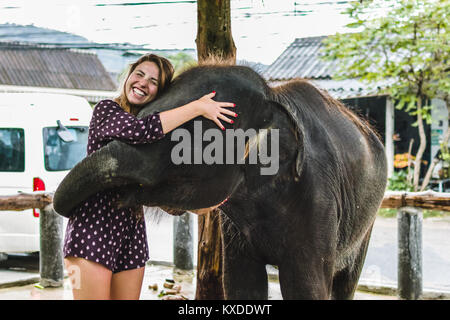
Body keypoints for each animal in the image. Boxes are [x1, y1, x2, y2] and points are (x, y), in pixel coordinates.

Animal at [53, 63, 386, 300]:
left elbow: (306, 288)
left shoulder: (317, 199)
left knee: (345, 283)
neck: (272, 98)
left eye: (188, 139)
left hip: (366, 221)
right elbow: (241, 285)